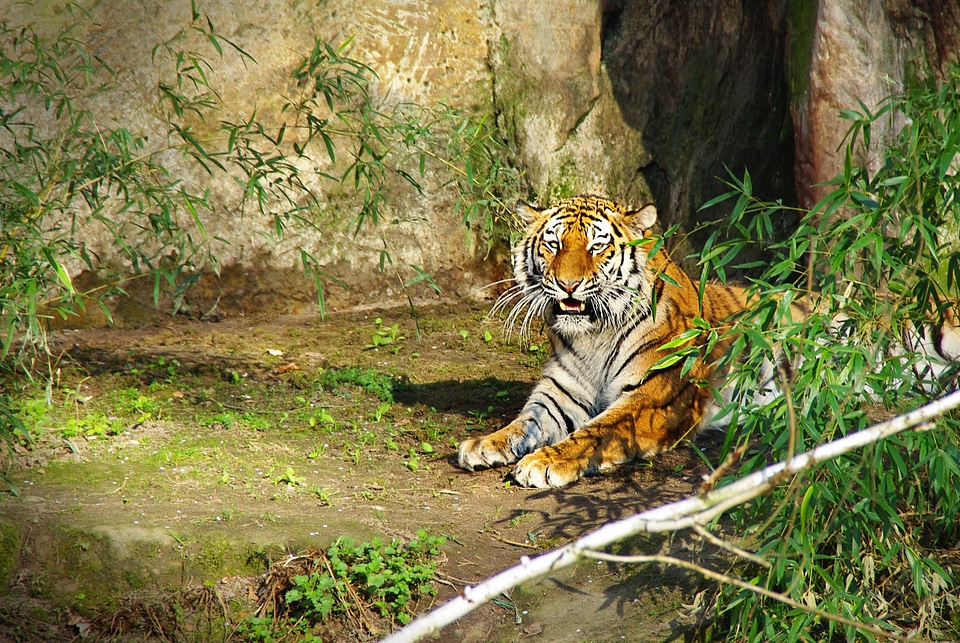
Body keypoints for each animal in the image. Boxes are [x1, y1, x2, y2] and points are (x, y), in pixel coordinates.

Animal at [458, 192, 960, 488]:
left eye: (597, 247)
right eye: (554, 244)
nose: (567, 285)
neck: (593, 336)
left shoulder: (654, 399)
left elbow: (595, 432)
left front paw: (544, 462)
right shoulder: (560, 394)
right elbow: (524, 422)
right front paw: (484, 444)